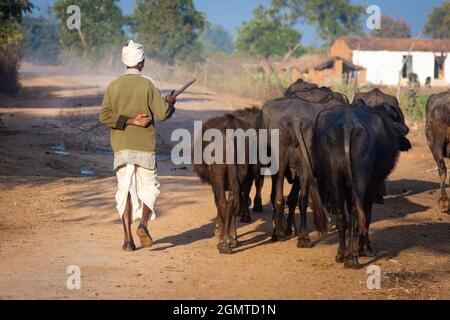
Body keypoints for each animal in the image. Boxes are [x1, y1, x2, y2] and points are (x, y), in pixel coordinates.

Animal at [192, 107, 264, 252]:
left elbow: (218, 203)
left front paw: (218, 229)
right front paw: (233, 236)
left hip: (217, 173)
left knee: (222, 202)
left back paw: (223, 241)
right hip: (241, 171)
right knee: (232, 200)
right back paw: (230, 239)